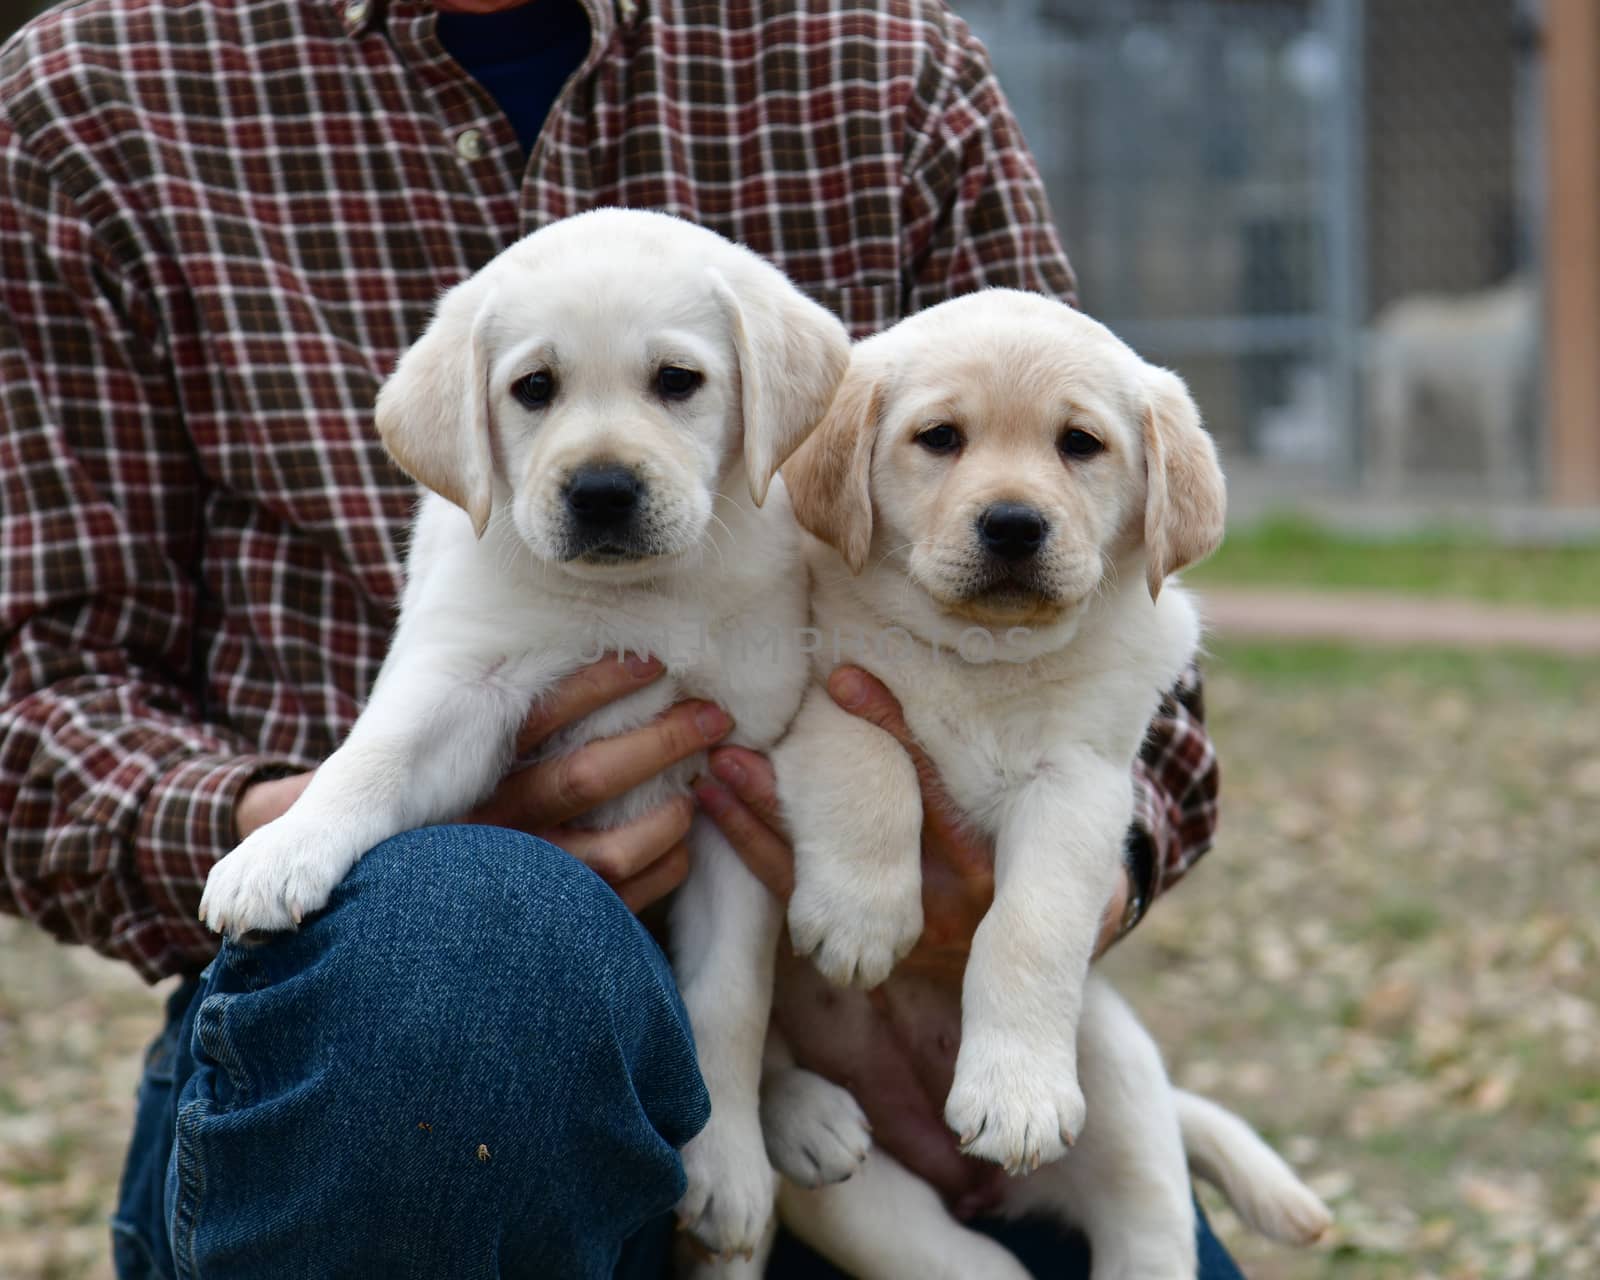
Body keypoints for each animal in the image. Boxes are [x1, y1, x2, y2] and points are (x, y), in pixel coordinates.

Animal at [196, 209, 851, 1260]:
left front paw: (730, 1168)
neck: (634, 600)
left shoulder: (729, 776)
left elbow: (730, 999)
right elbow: (373, 757)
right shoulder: (460, 679)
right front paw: (283, 847)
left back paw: (800, 1115)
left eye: (678, 381)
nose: (602, 491)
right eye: (534, 388)